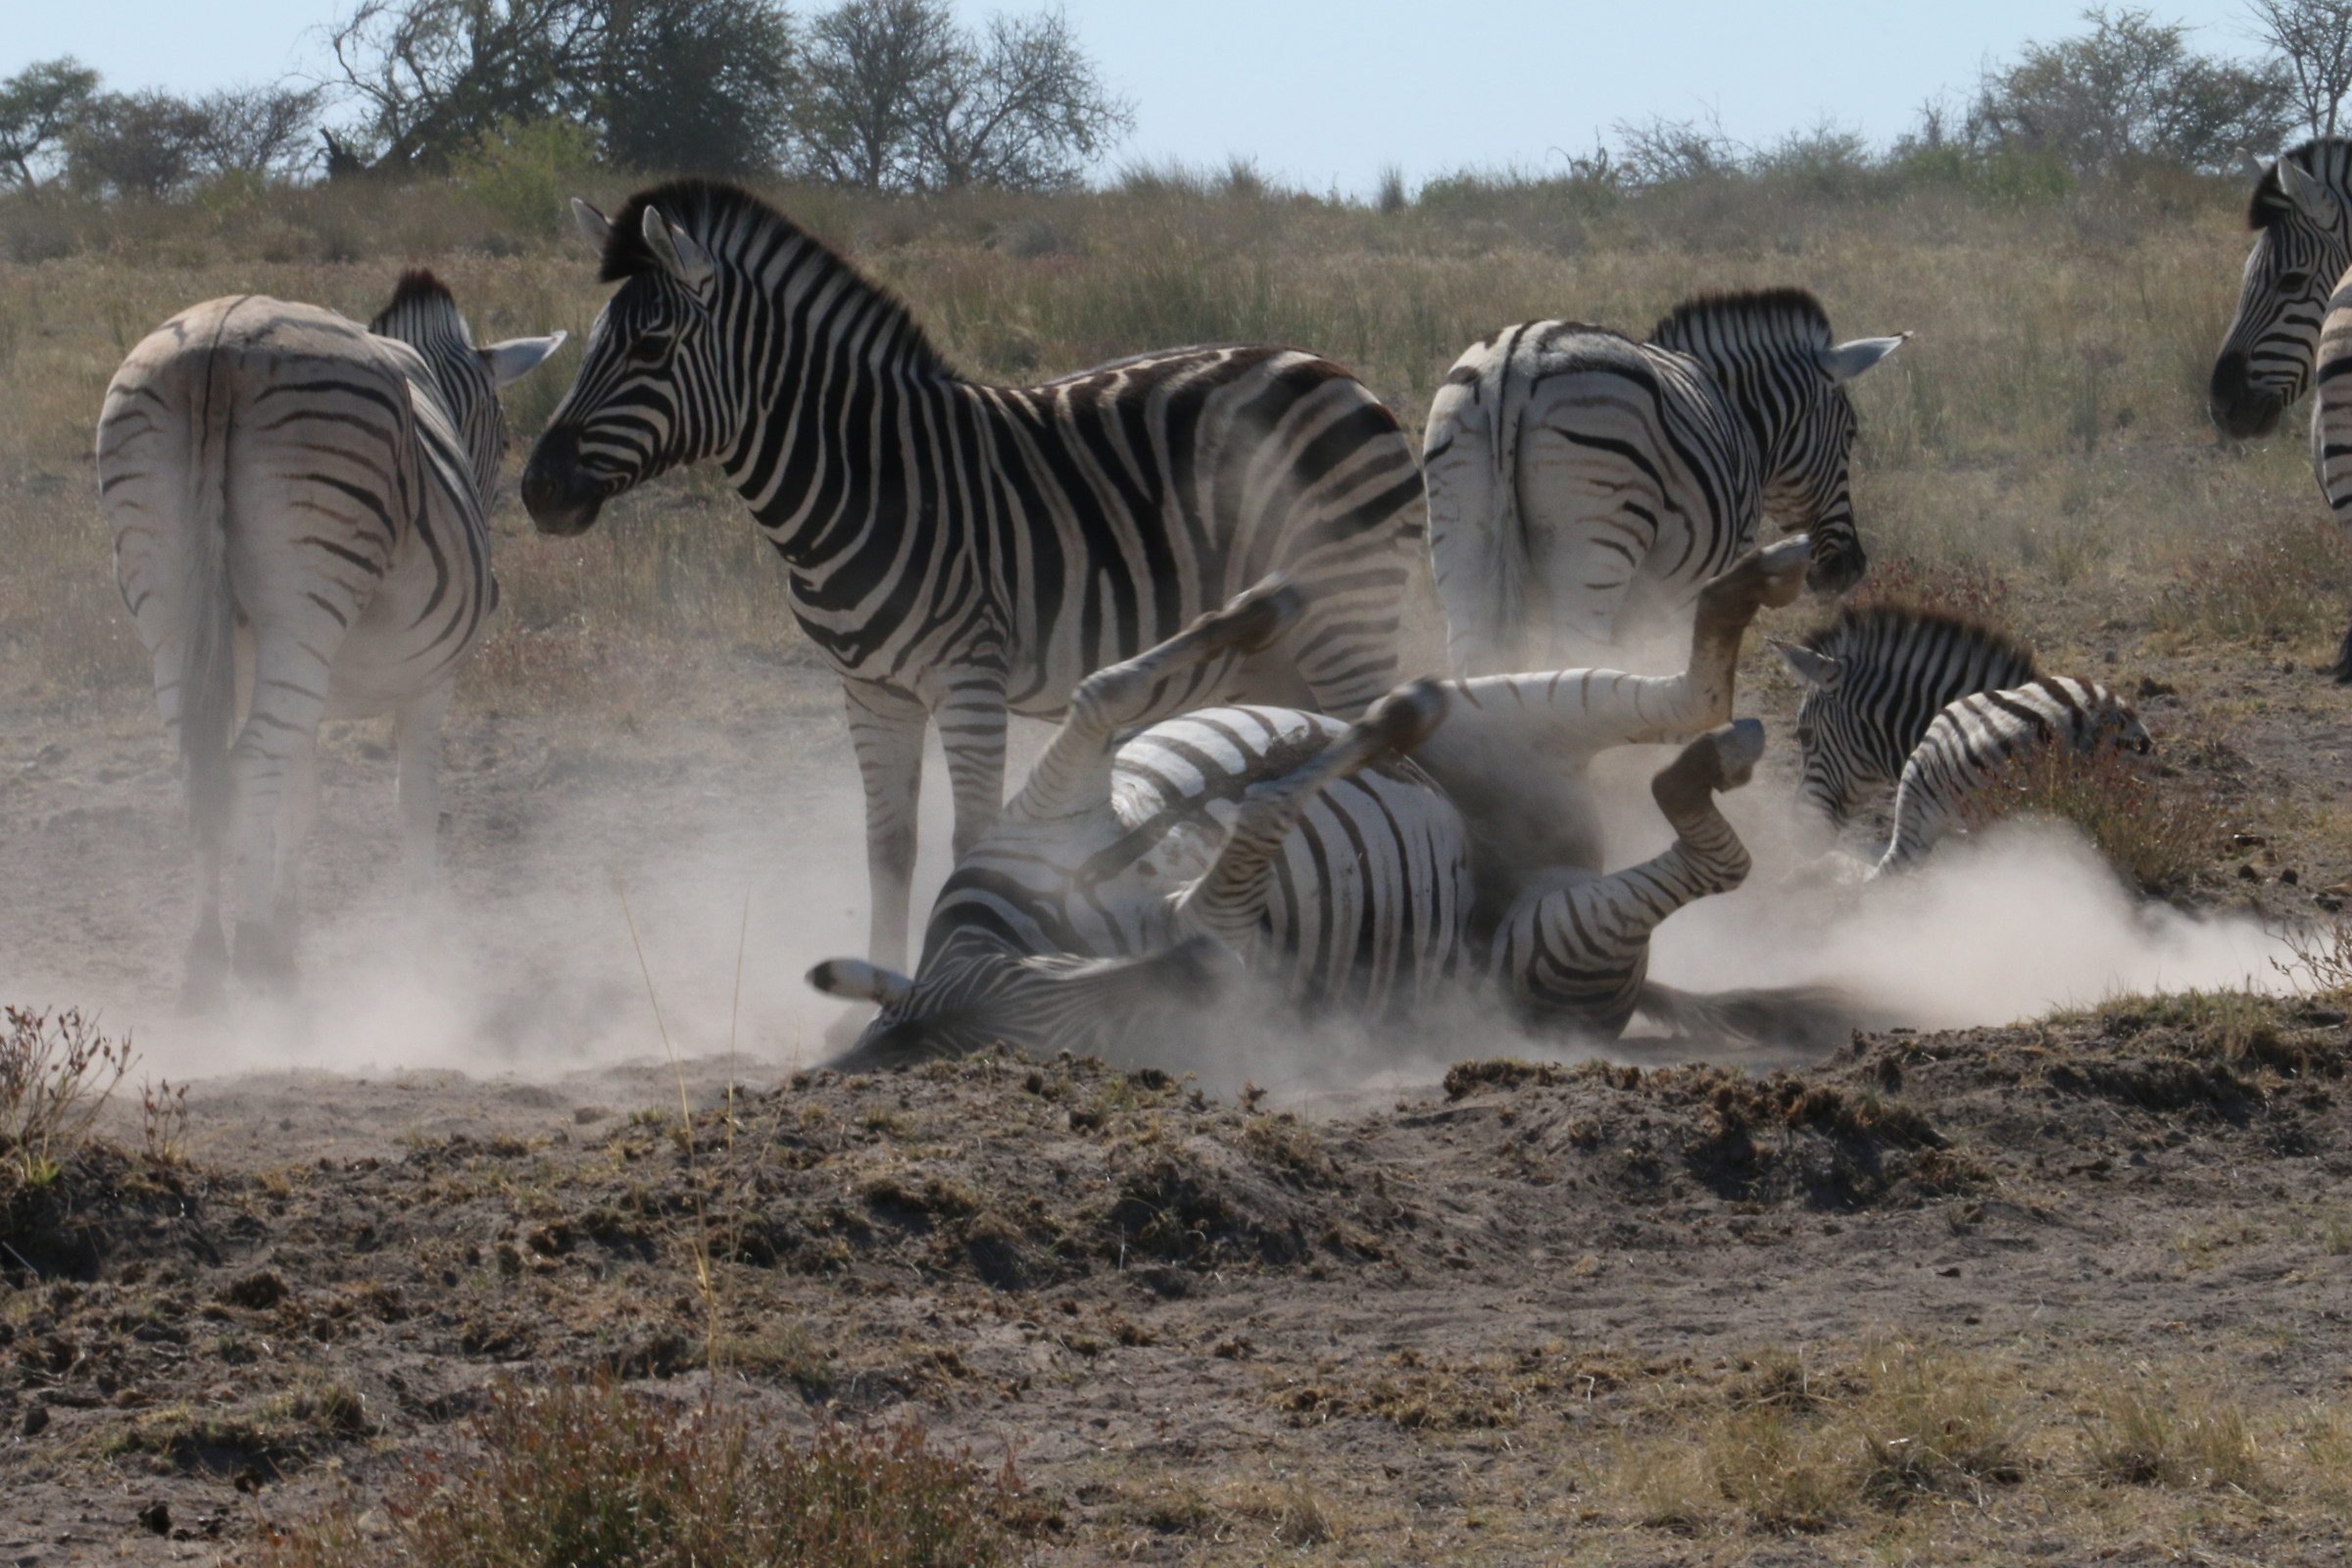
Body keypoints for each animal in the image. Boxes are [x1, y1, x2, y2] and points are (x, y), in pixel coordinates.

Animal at [97, 274, 564, 1003]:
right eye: (508, 439)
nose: (493, 589)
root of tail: (219, 342)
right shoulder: (430, 680)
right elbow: (415, 802)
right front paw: (426, 946)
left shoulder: (303, 689)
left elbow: (301, 801)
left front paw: (286, 925)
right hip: (305, 604)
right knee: (247, 766)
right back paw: (249, 954)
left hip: (174, 611)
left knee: (202, 772)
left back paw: (206, 961)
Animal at [519, 179, 1426, 973]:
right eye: (588, 344)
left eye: (649, 346)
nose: (537, 490)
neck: (867, 481)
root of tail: (1332, 367)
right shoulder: (870, 689)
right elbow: (889, 847)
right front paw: (873, 995)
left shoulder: (969, 680)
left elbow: (971, 837)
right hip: (1279, 655)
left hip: (1348, 612)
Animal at [808, 538, 1849, 1069]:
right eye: (1090, 1052)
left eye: (1067, 1009)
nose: (1206, 976)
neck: (1061, 921)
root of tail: (1552, 855)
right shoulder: (1220, 911)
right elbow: (1265, 805)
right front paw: (1383, 722)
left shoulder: (1069, 789)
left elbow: (1111, 690)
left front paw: (1264, 617)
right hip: (1535, 955)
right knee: (1702, 824)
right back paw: (1710, 758)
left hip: (1500, 719)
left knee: (1684, 698)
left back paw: (1753, 583)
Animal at [1422, 289, 1905, 674]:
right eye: (1850, 433)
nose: (1851, 568)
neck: (1740, 414)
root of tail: (1517, 361)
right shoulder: (1698, 587)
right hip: (1595, 552)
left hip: (1462, 546)